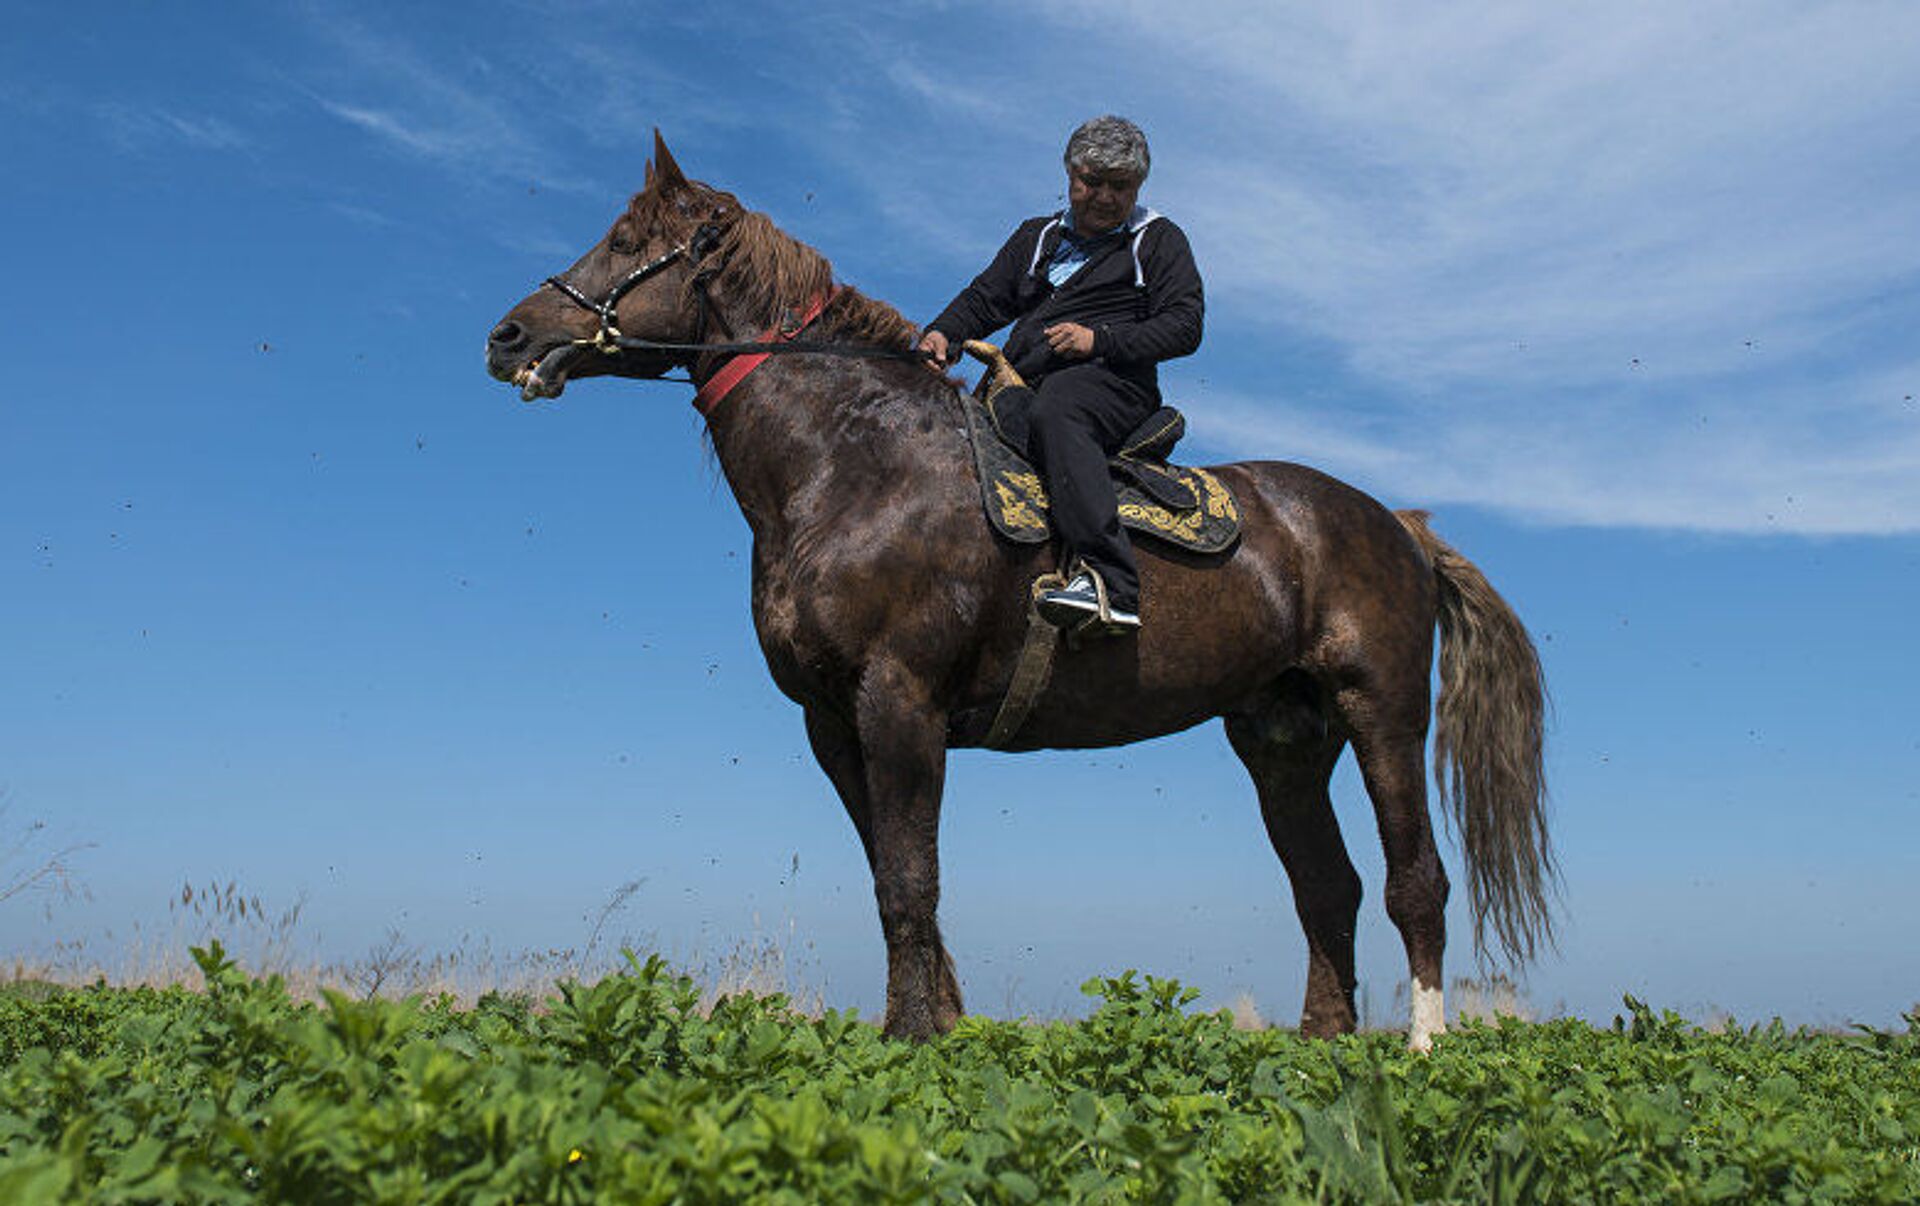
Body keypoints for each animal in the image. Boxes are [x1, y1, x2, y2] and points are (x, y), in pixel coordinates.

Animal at [487, 131, 1551, 1052]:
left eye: (630, 242)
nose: (508, 335)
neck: (854, 463)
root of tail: (1398, 525)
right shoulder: (833, 722)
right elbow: (890, 880)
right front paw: (926, 1026)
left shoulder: (900, 701)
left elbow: (909, 883)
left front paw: (915, 1041)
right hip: (1284, 741)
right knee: (1327, 888)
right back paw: (1318, 1049)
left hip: (1382, 713)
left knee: (1415, 881)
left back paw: (1422, 1046)